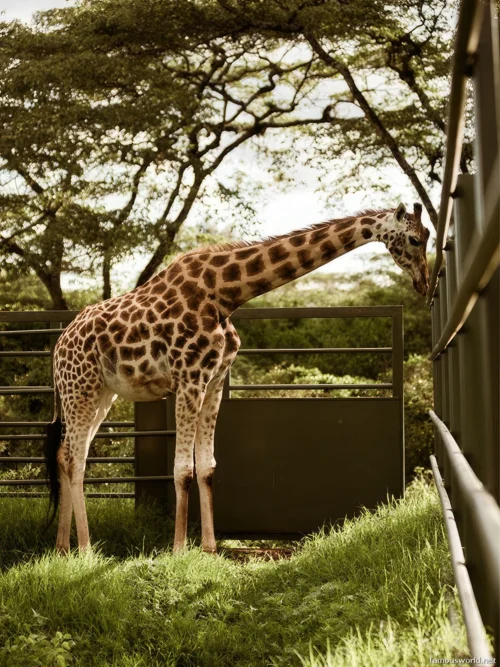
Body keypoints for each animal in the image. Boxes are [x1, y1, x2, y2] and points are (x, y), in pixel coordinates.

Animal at [46, 201, 430, 554]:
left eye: (427, 236)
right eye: (414, 238)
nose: (424, 284)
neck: (225, 294)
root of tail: (58, 347)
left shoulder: (214, 381)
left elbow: (207, 467)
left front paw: (210, 548)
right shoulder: (189, 378)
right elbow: (183, 468)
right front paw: (178, 549)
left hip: (102, 394)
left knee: (65, 454)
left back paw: (62, 546)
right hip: (80, 388)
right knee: (76, 458)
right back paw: (85, 548)